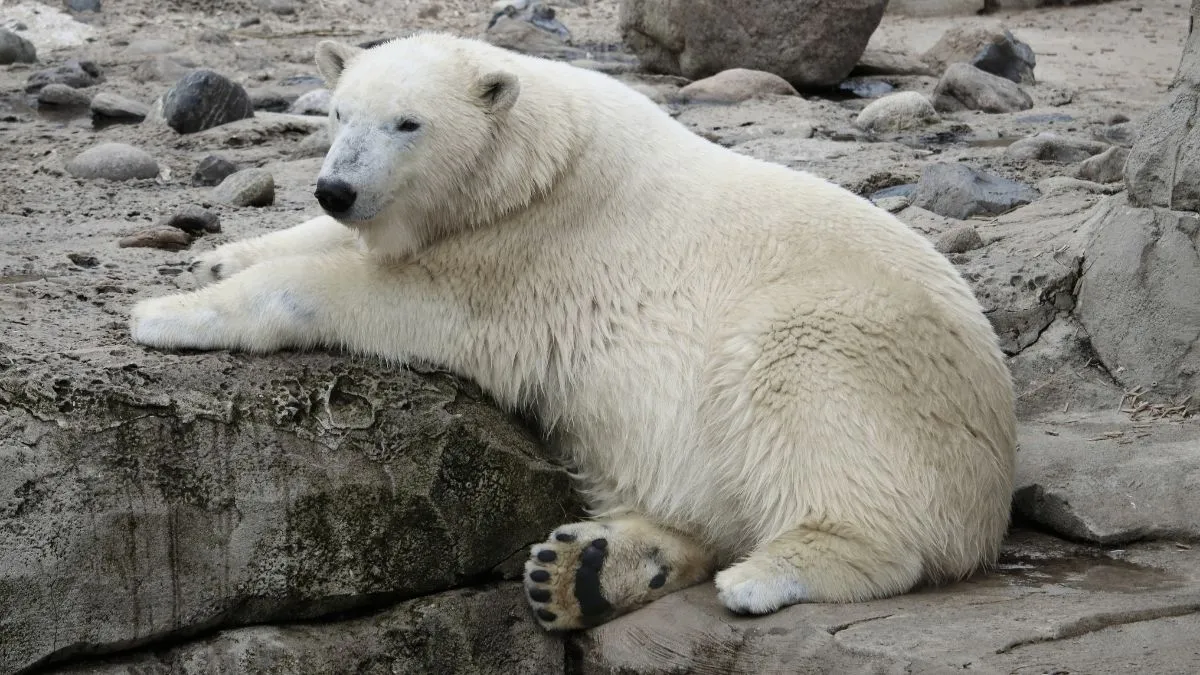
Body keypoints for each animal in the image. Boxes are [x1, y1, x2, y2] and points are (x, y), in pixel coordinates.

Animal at [129, 33, 1017, 630]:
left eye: (408, 123)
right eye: (341, 112)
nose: (336, 188)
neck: (534, 163)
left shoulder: (525, 257)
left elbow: (387, 297)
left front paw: (165, 314)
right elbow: (345, 248)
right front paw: (218, 254)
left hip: (849, 346)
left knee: (807, 412)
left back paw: (762, 574)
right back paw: (586, 570)